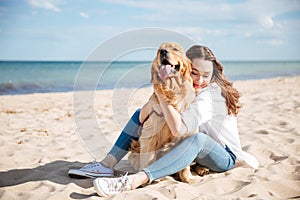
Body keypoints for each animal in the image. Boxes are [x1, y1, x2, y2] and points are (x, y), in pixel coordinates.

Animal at [127, 42, 207, 183]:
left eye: (175, 49)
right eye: (159, 50)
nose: (163, 51)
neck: (173, 89)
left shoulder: (189, 132)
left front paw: (187, 178)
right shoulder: (150, 134)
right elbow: (149, 160)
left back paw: (201, 169)